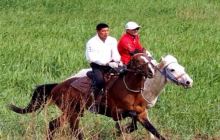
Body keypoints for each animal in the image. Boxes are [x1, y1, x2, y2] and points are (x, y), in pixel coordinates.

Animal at [8, 53, 166, 139]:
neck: (130, 90)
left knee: (54, 125)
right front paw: (121, 130)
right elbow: (130, 118)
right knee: (71, 128)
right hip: (71, 112)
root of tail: (57, 86)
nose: (151, 71)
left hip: (74, 111)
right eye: (139, 61)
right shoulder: (116, 113)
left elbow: (154, 131)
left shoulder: (142, 113)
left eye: (149, 58)